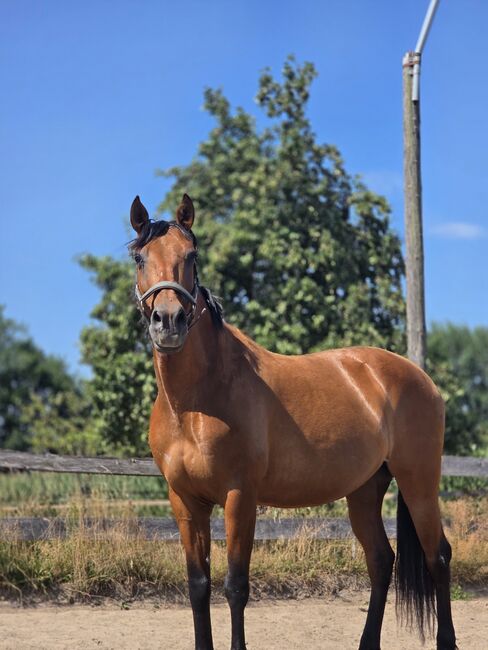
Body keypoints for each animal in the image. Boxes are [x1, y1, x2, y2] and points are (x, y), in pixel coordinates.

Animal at [129, 193, 457, 650]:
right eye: (140, 257)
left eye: (191, 256)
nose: (169, 321)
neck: (194, 404)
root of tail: (418, 376)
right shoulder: (184, 501)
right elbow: (198, 586)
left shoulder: (240, 497)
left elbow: (235, 586)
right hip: (365, 489)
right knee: (380, 560)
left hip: (419, 482)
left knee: (437, 556)